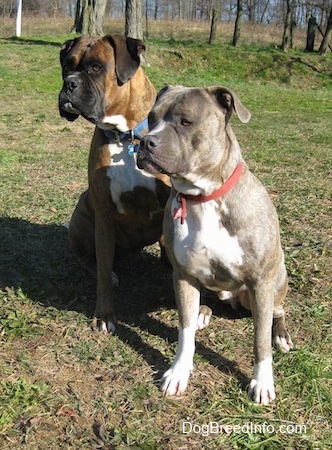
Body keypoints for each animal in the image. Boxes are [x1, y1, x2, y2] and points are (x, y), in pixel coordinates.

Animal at [58, 36, 170, 334]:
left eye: (96, 68)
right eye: (67, 66)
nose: (69, 83)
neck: (126, 136)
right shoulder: (105, 216)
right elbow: (102, 278)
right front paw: (105, 315)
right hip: (82, 218)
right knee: (90, 261)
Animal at [137, 85, 294, 404]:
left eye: (186, 122)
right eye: (151, 117)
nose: (145, 141)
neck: (204, 197)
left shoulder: (260, 282)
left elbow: (260, 340)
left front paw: (262, 382)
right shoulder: (183, 276)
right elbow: (184, 332)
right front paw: (179, 372)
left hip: (276, 279)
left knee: (278, 311)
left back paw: (281, 334)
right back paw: (202, 312)